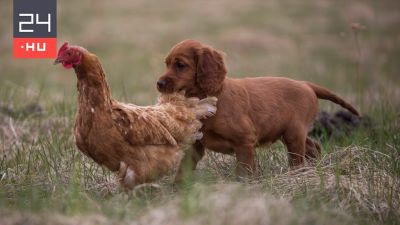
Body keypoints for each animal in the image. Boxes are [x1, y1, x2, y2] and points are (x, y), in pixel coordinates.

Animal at [157, 39, 360, 180]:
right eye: (166, 64)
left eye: (180, 65)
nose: (158, 84)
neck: (210, 99)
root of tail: (306, 84)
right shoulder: (195, 145)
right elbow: (182, 170)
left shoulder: (245, 141)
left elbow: (243, 171)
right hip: (290, 132)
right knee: (313, 146)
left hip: (294, 133)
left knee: (298, 157)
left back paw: (297, 176)